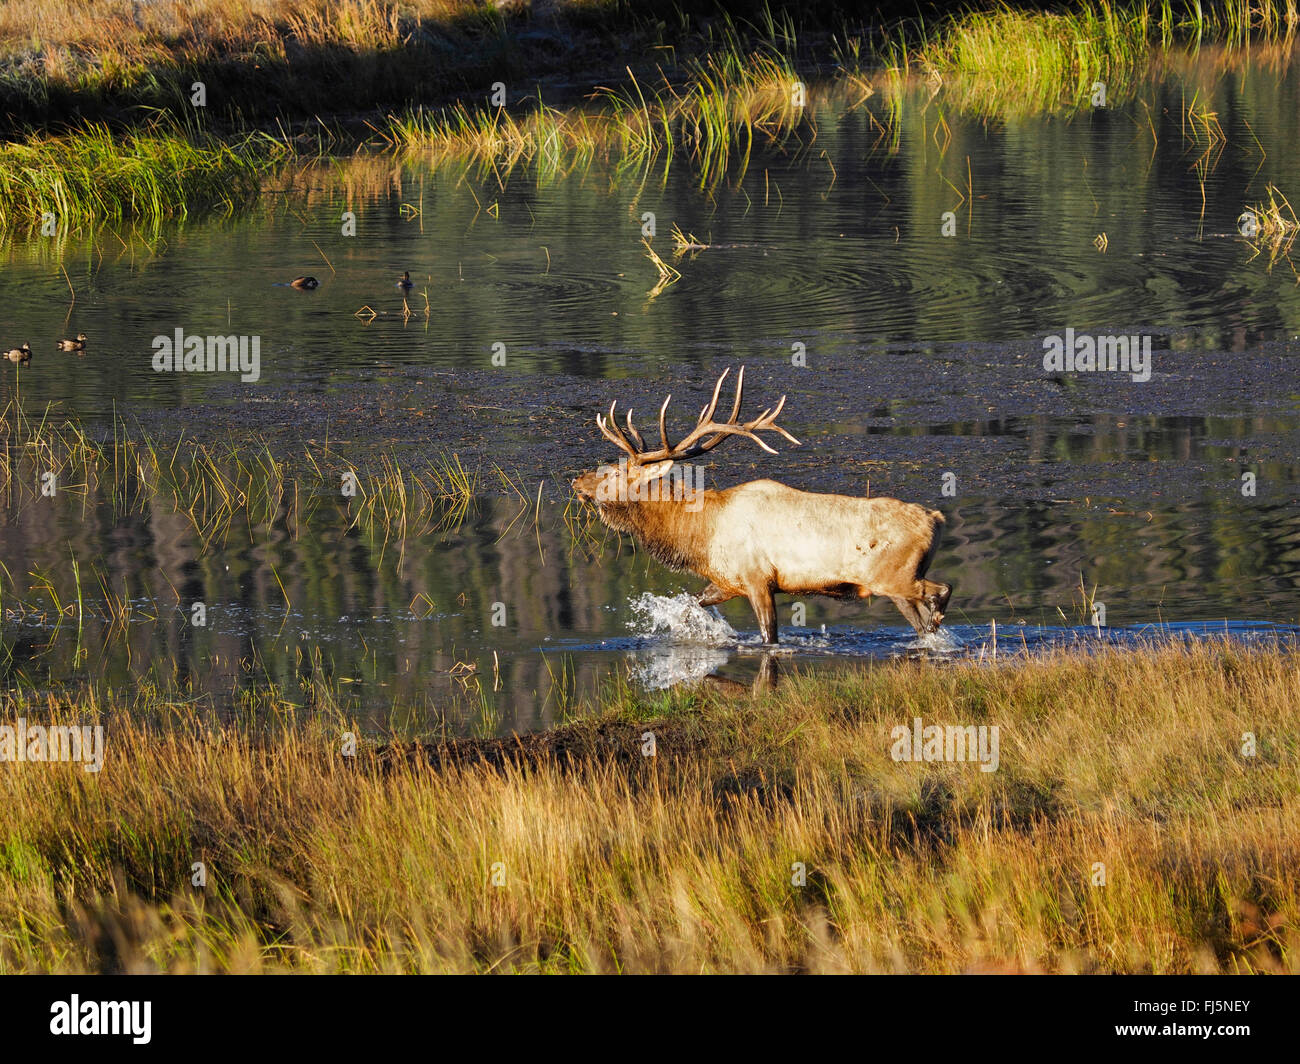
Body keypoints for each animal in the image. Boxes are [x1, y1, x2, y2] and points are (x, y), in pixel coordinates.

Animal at [572, 369, 956, 642]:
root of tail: (937, 519)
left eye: (615, 472)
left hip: (893, 576)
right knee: (923, 623)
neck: (700, 535)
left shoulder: (758, 579)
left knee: (942, 591)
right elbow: (688, 606)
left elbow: (769, 637)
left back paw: (938, 617)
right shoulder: (727, 582)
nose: (576, 481)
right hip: (897, 586)